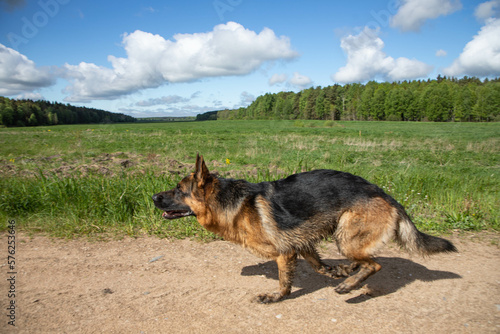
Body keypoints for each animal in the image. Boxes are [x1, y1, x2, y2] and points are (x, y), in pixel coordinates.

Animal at [152, 155, 458, 304]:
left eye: (178, 190)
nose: (154, 197)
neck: (230, 202)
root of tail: (385, 194)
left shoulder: (285, 253)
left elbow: (284, 283)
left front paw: (275, 298)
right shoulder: (302, 244)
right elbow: (319, 265)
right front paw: (336, 271)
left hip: (345, 237)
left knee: (374, 265)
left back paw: (349, 287)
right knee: (366, 262)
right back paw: (349, 273)